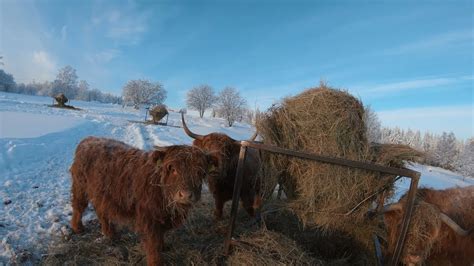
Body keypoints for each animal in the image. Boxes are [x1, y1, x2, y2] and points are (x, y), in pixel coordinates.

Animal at [69, 137, 216, 266]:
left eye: (200, 172)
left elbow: (160, 237)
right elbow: (152, 245)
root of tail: (87, 139)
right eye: (173, 169)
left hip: (102, 194)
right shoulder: (149, 220)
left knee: (101, 210)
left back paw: (110, 233)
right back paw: (78, 228)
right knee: (78, 206)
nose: (185, 195)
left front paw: (163, 247)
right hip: (80, 186)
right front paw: (156, 262)